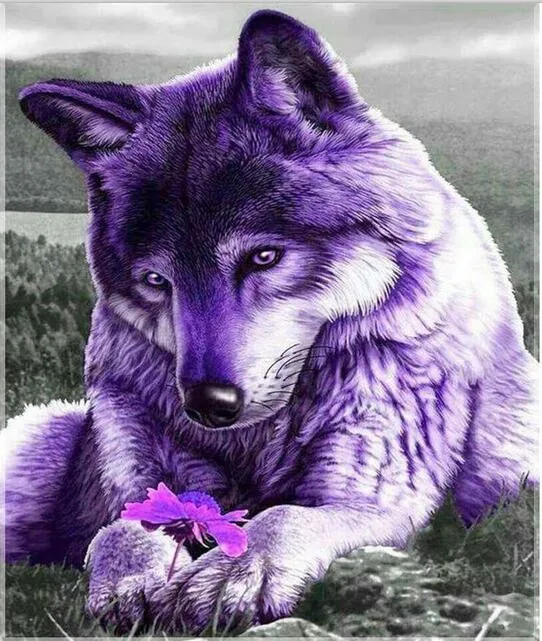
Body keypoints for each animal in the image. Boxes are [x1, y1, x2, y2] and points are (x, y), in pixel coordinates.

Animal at [2, 9, 539, 634]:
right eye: (157, 281)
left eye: (263, 257)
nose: (207, 405)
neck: (260, 441)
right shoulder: (143, 477)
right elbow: (122, 527)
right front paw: (132, 580)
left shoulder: (374, 498)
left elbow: (282, 516)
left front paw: (233, 576)